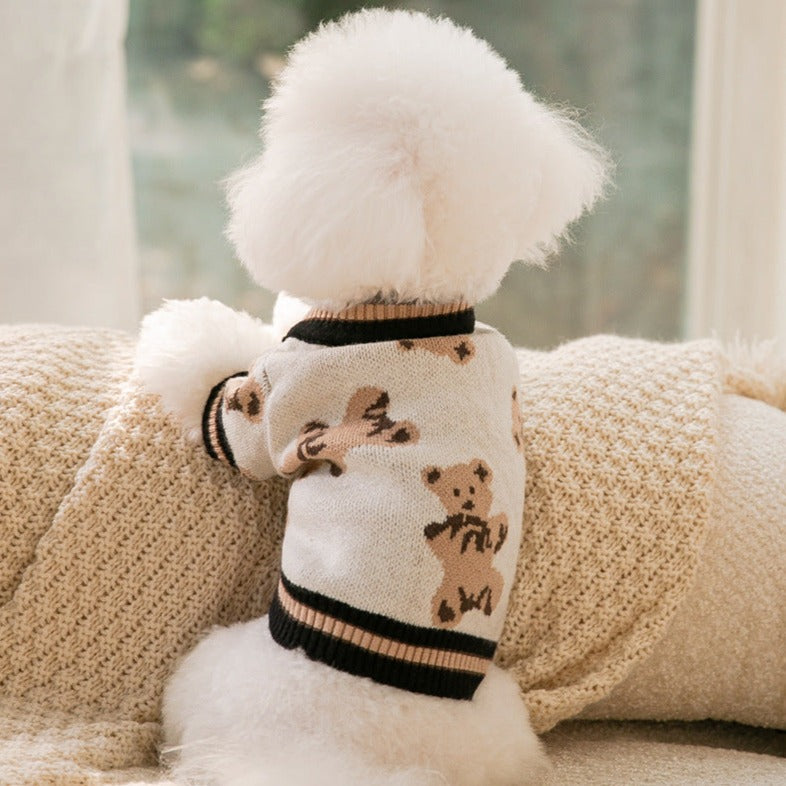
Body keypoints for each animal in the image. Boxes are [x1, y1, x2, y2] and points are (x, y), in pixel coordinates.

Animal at [422, 459, 508, 628]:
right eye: (455, 492)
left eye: (472, 489)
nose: (468, 503)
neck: (470, 519)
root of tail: (472, 601)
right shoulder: (448, 533)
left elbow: (497, 524)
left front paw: (500, 530)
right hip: (449, 591)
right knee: (447, 606)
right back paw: (446, 614)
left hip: (493, 577)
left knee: (495, 587)